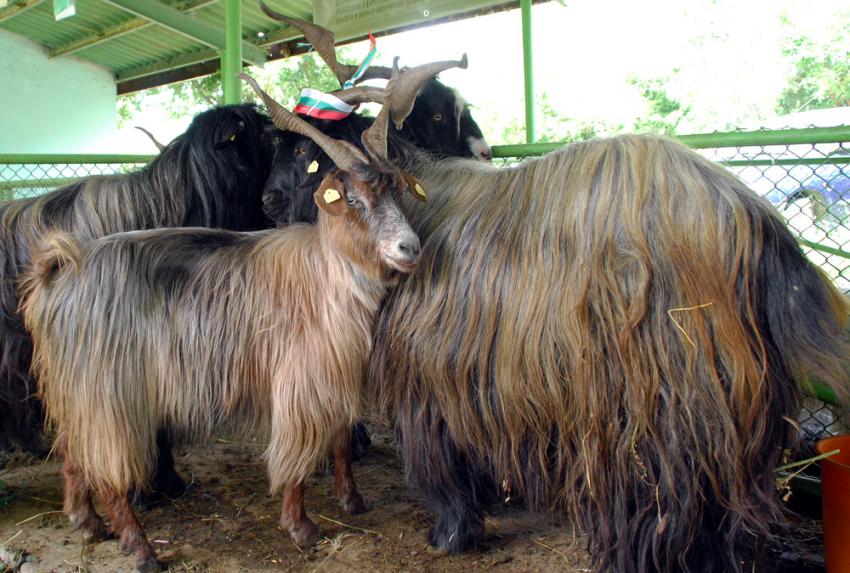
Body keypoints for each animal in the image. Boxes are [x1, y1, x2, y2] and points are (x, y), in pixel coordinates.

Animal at [368, 135, 850, 572]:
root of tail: (756, 223)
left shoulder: (427, 385)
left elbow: (439, 465)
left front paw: (450, 534)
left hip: (648, 411)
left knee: (659, 512)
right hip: (728, 413)